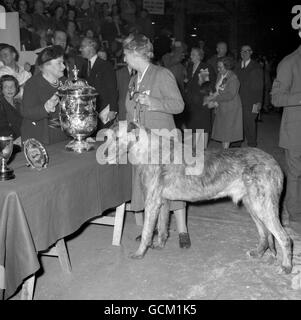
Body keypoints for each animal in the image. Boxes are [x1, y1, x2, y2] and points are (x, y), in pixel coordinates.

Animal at [97, 121, 292, 274]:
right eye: (106, 137)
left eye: (117, 138)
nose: (103, 156)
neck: (147, 149)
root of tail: (275, 163)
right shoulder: (163, 201)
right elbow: (162, 227)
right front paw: (160, 245)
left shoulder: (152, 201)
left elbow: (146, 231)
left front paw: (139, 253)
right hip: (253, 205)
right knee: (265, 234)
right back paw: (258, 253)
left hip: (263, 206)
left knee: (284, 238)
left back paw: (286, 266)